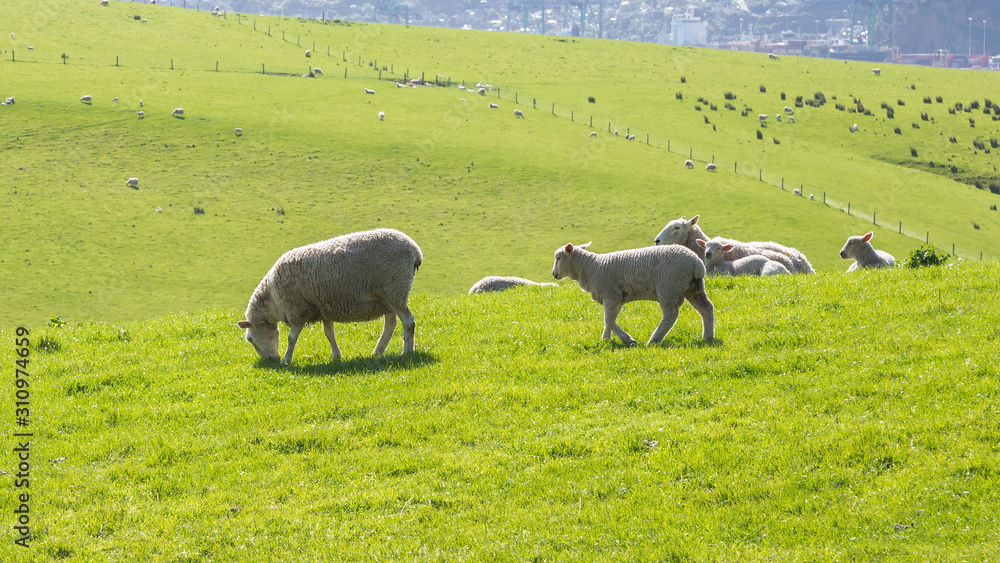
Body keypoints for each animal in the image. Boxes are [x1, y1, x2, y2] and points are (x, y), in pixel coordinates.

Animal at [237, 228, 423, 364]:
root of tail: (415, 250)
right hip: (386, 297)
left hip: (395, 289)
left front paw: (286, 361)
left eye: (250, 339)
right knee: (390, 324)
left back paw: (406, 351)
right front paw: (336, 356)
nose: (270, 361)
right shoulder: (323, 307)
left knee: (408, 321)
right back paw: (377, 352)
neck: (273, 300)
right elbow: (329, 333)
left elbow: (291, 338)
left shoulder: (299, 310)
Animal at [551, 242, 714, 345]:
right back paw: (708, 337)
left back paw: (654, 340)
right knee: (706, 308)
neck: (591, 267)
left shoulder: (610, 295)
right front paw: (605, 340)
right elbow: (609, 320)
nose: (554, 274)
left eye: (558, 258)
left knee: (670, 316)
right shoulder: (616, 299)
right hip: (693, 288)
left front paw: (628, 340)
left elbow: (608, 320)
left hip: (668, 287)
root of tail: (696, 262)